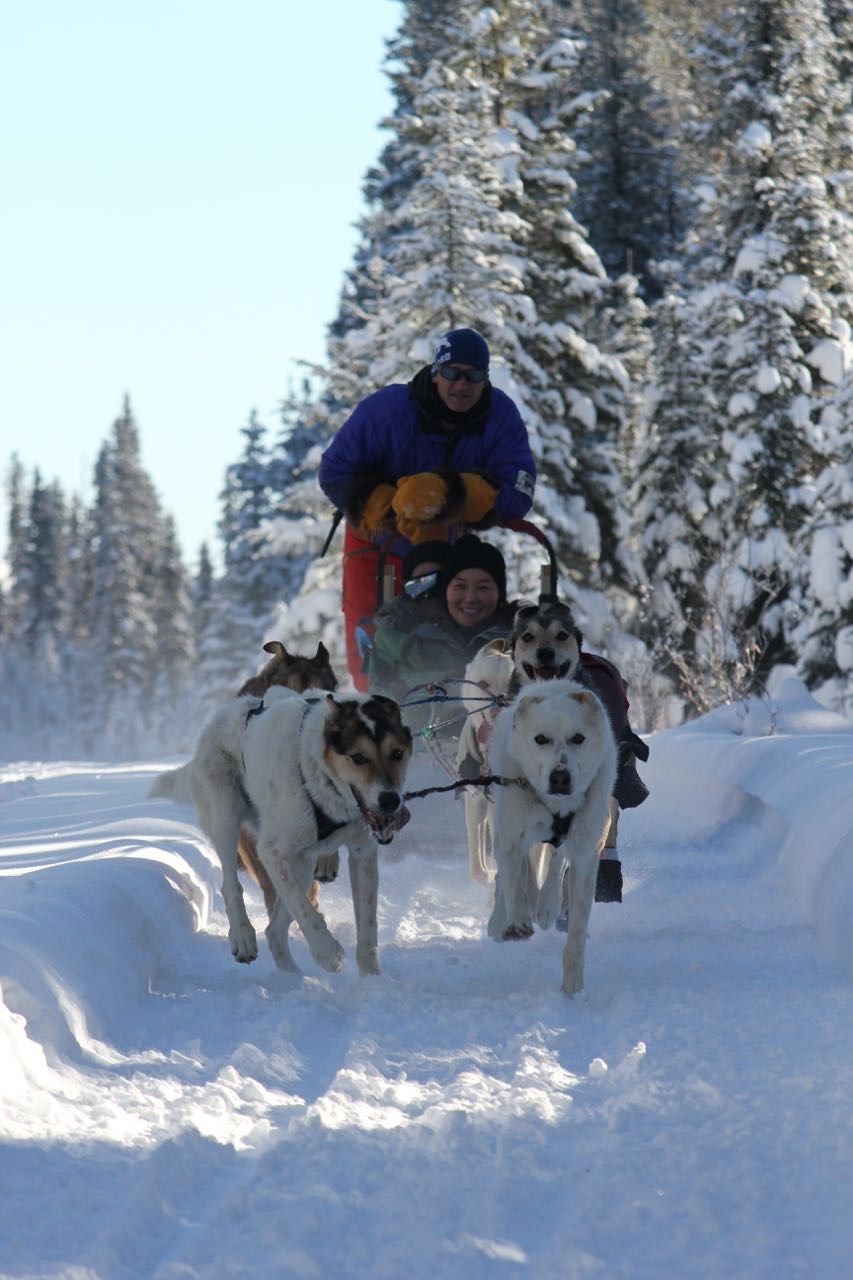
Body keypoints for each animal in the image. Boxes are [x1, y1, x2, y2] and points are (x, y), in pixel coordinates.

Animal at [151, 691, 412, 977]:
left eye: (397, 753)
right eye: (359, 758)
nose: (390, 800)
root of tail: (223, 713)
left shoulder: (361, 853)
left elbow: (367, 926)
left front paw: (371, 979)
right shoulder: (271, 850)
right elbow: (305, 911)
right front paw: (327, 952)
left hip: (302, 863)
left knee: (274, 931)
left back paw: (295, 978)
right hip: (227, 818)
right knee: (230, 885)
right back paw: (243, 935)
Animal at [481, 680, 614, 998]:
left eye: (578, 738)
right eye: (540, 739)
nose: (560, 777)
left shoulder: (586, 851)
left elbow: (576, 924)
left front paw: (573, 986)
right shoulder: (510, 836)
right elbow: (513, 882)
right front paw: (517, 921)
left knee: (556, 862)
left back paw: (547, 904)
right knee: (513, 875)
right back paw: (503, 918)